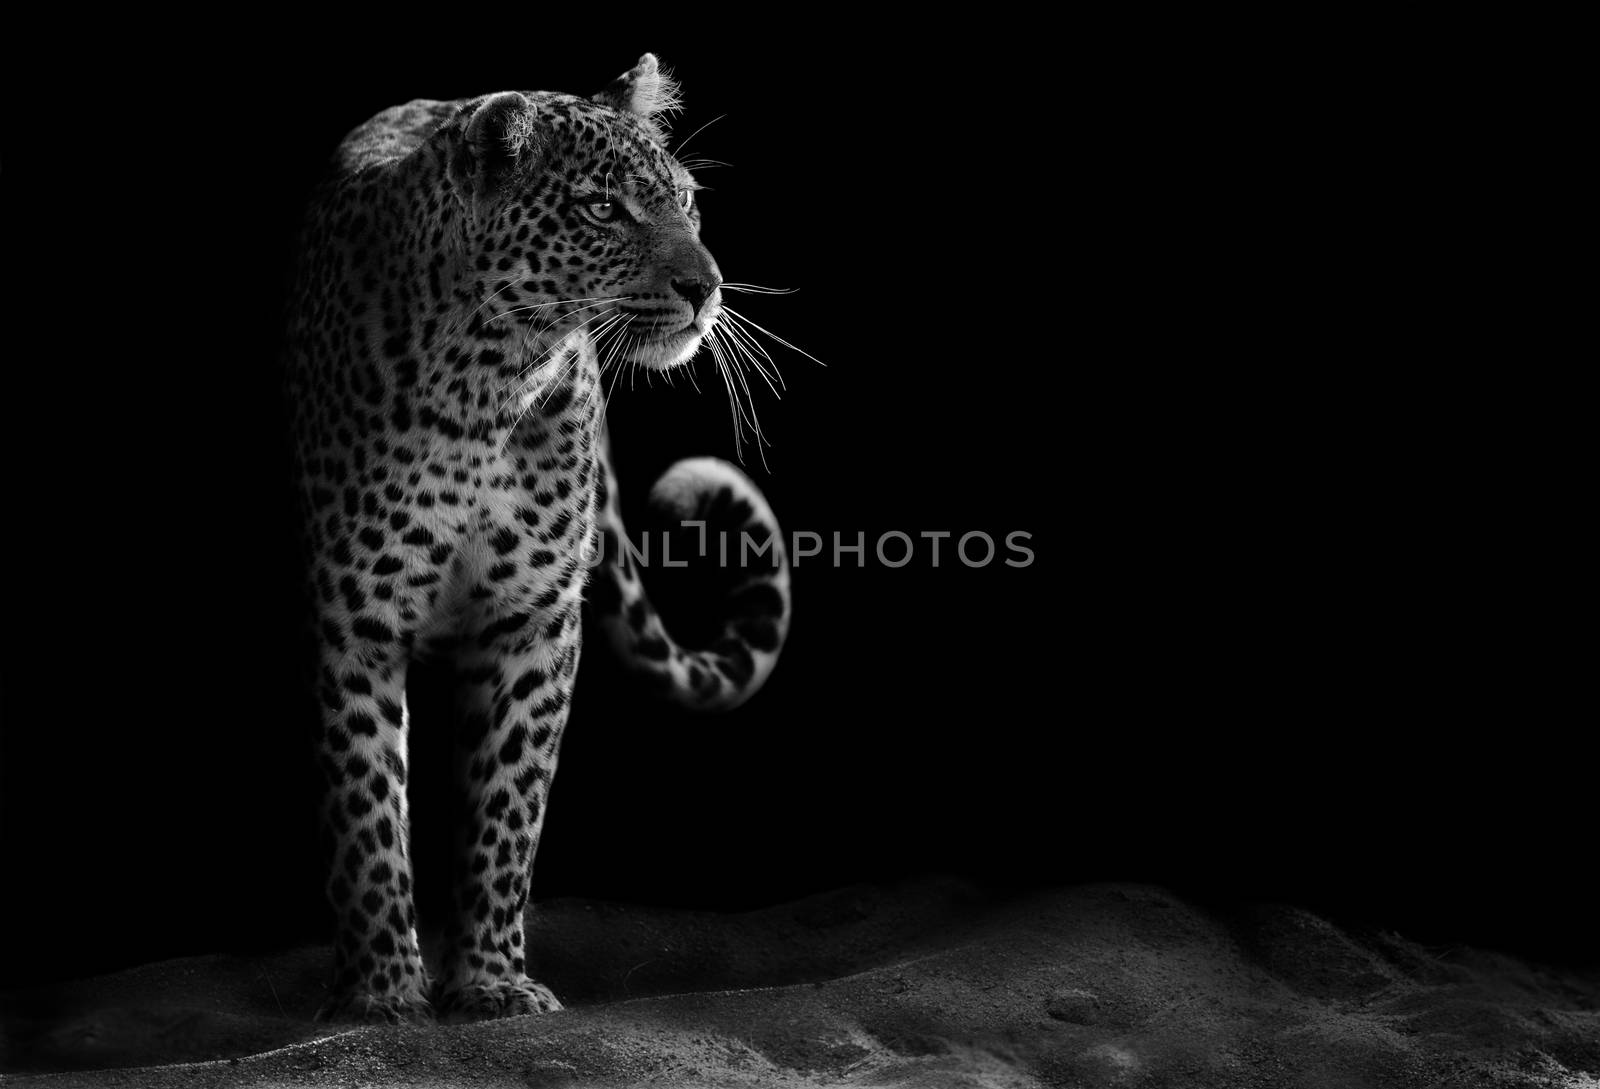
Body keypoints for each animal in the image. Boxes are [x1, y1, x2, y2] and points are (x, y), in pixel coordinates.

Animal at [286, 50, 793, 1017]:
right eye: (603, 209)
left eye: (686, 201)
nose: (706, 287)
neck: (489, 378)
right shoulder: (354, 614)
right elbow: (366, 807)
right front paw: (382, 990)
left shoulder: (533, 618)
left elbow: (508, 805)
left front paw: (490, 979)